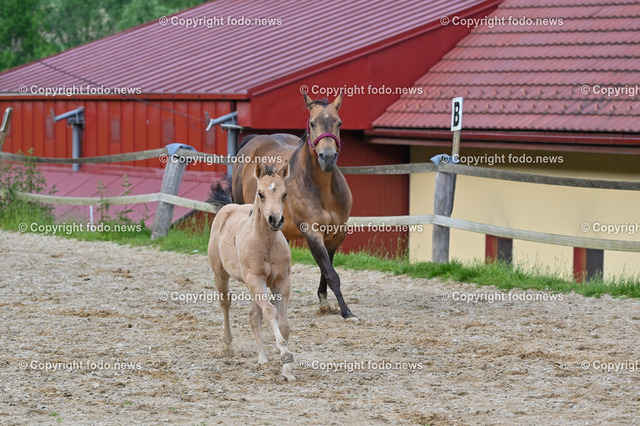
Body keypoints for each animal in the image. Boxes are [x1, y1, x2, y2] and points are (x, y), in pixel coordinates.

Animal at [207, 161, 295, 381]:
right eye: (260, 193)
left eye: (285, 194)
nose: (275, 220)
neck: (266, 243)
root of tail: (228, 207)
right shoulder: (256, 280)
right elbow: (271, 312)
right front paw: (285, 354)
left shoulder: (281, 282)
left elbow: (283, 324)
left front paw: (287, 368)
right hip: (221, 275)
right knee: (225, 303)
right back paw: (228, 346)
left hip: (254, 285)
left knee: (254, 315)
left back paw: (262, 359)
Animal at [231, 92, 355, 319]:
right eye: (312, 123)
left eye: (339, 122)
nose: (327, 157)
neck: (323, 190)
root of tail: (255, 140)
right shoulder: (311, 232)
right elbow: (331, 273)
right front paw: (346, 311)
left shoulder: (336, 233)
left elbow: (327, 268)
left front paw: (324, 302)